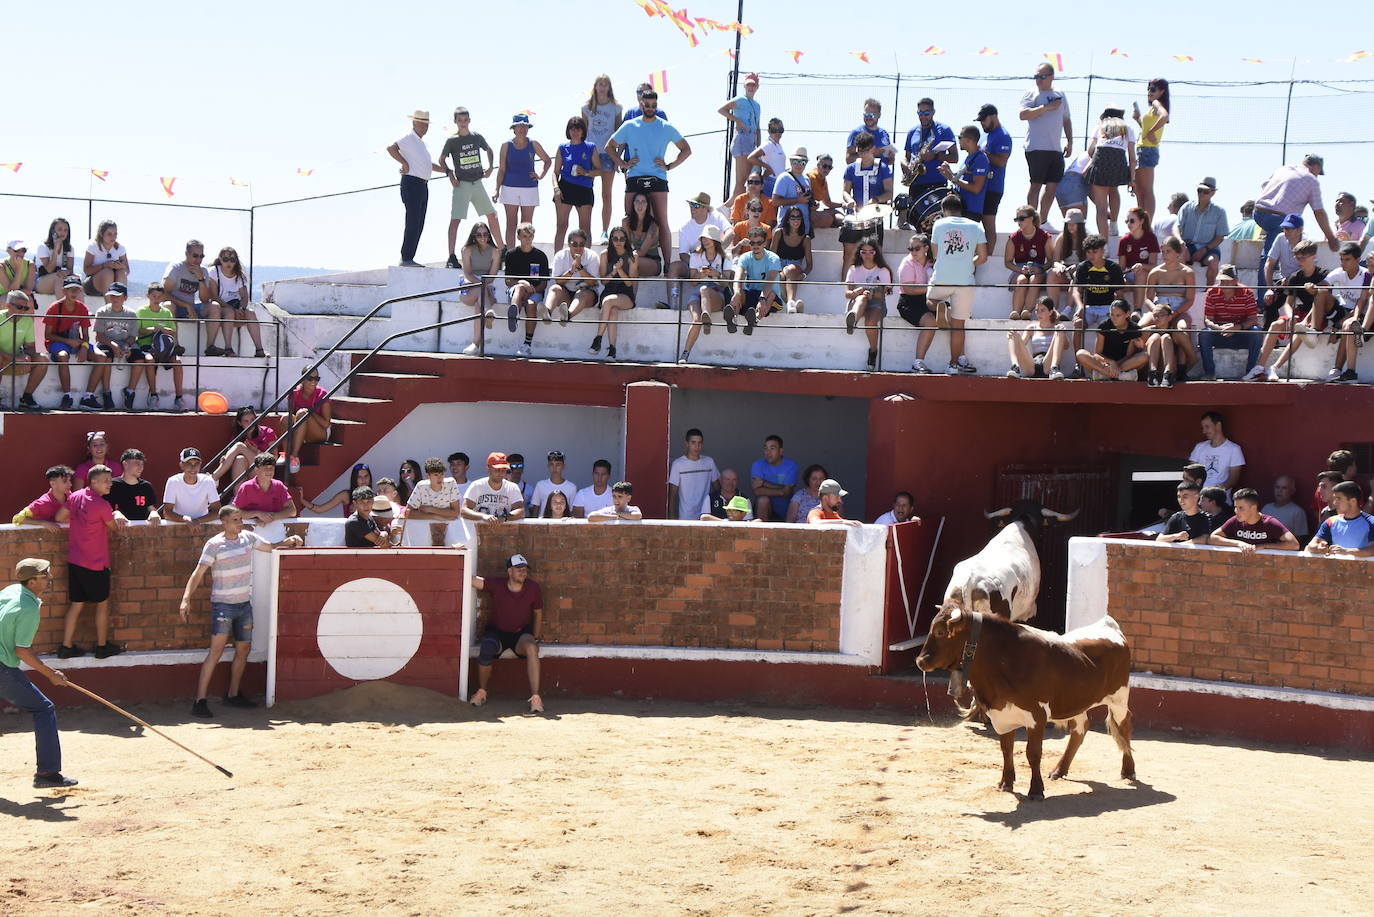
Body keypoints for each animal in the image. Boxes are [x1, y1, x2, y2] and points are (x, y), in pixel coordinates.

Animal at [917, 613, 1132, 797]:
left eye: (940, 632)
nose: (920, 661)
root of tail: (1108, 625)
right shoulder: (1002, 717)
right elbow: (1006, 750)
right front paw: (1005, 782)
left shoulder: (1037, 717)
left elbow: (1033, 753)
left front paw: (1036, 790)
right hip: (1076, 701)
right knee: (1080, 729)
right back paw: (1059, 770)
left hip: (1119, 698)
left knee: (1123, 727)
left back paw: (1128, 770)